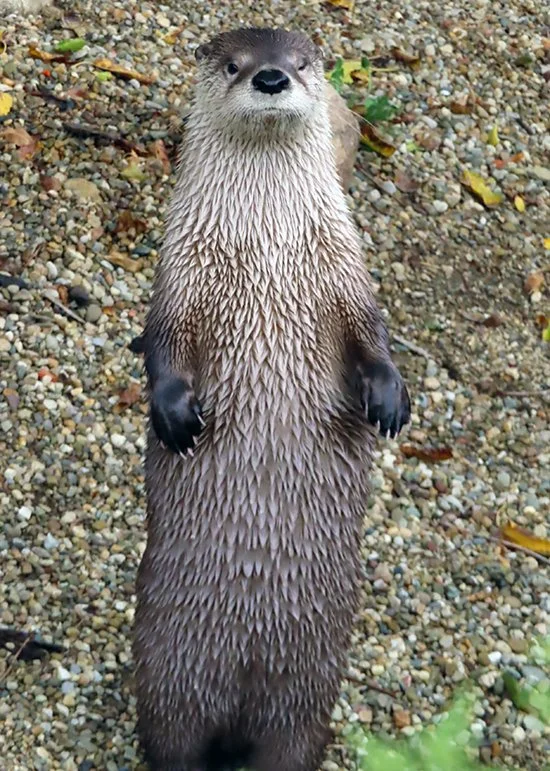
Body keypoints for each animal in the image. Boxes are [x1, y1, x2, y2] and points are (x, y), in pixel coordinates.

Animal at [134, 27, 410, 771]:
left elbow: (371, 334)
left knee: (291, 740)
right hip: (171, 668)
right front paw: (174, 414)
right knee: (171, 738)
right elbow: (163, 344)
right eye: (234, 64)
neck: (268, 246)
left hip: (310, 687)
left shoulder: (344, 269)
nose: (269, 78)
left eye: (302, 62)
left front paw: (390, 398)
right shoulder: (181, 273)